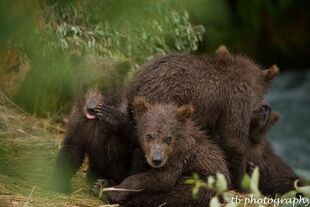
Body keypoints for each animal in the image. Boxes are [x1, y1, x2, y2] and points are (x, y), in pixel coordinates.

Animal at [51, 55, 134, 193]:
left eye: (104, 88)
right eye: (85, 85)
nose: (91, 108)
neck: (95, 123)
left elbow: (120, 151)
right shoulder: (78, 126)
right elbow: (71, 151)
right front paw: (59, 182)